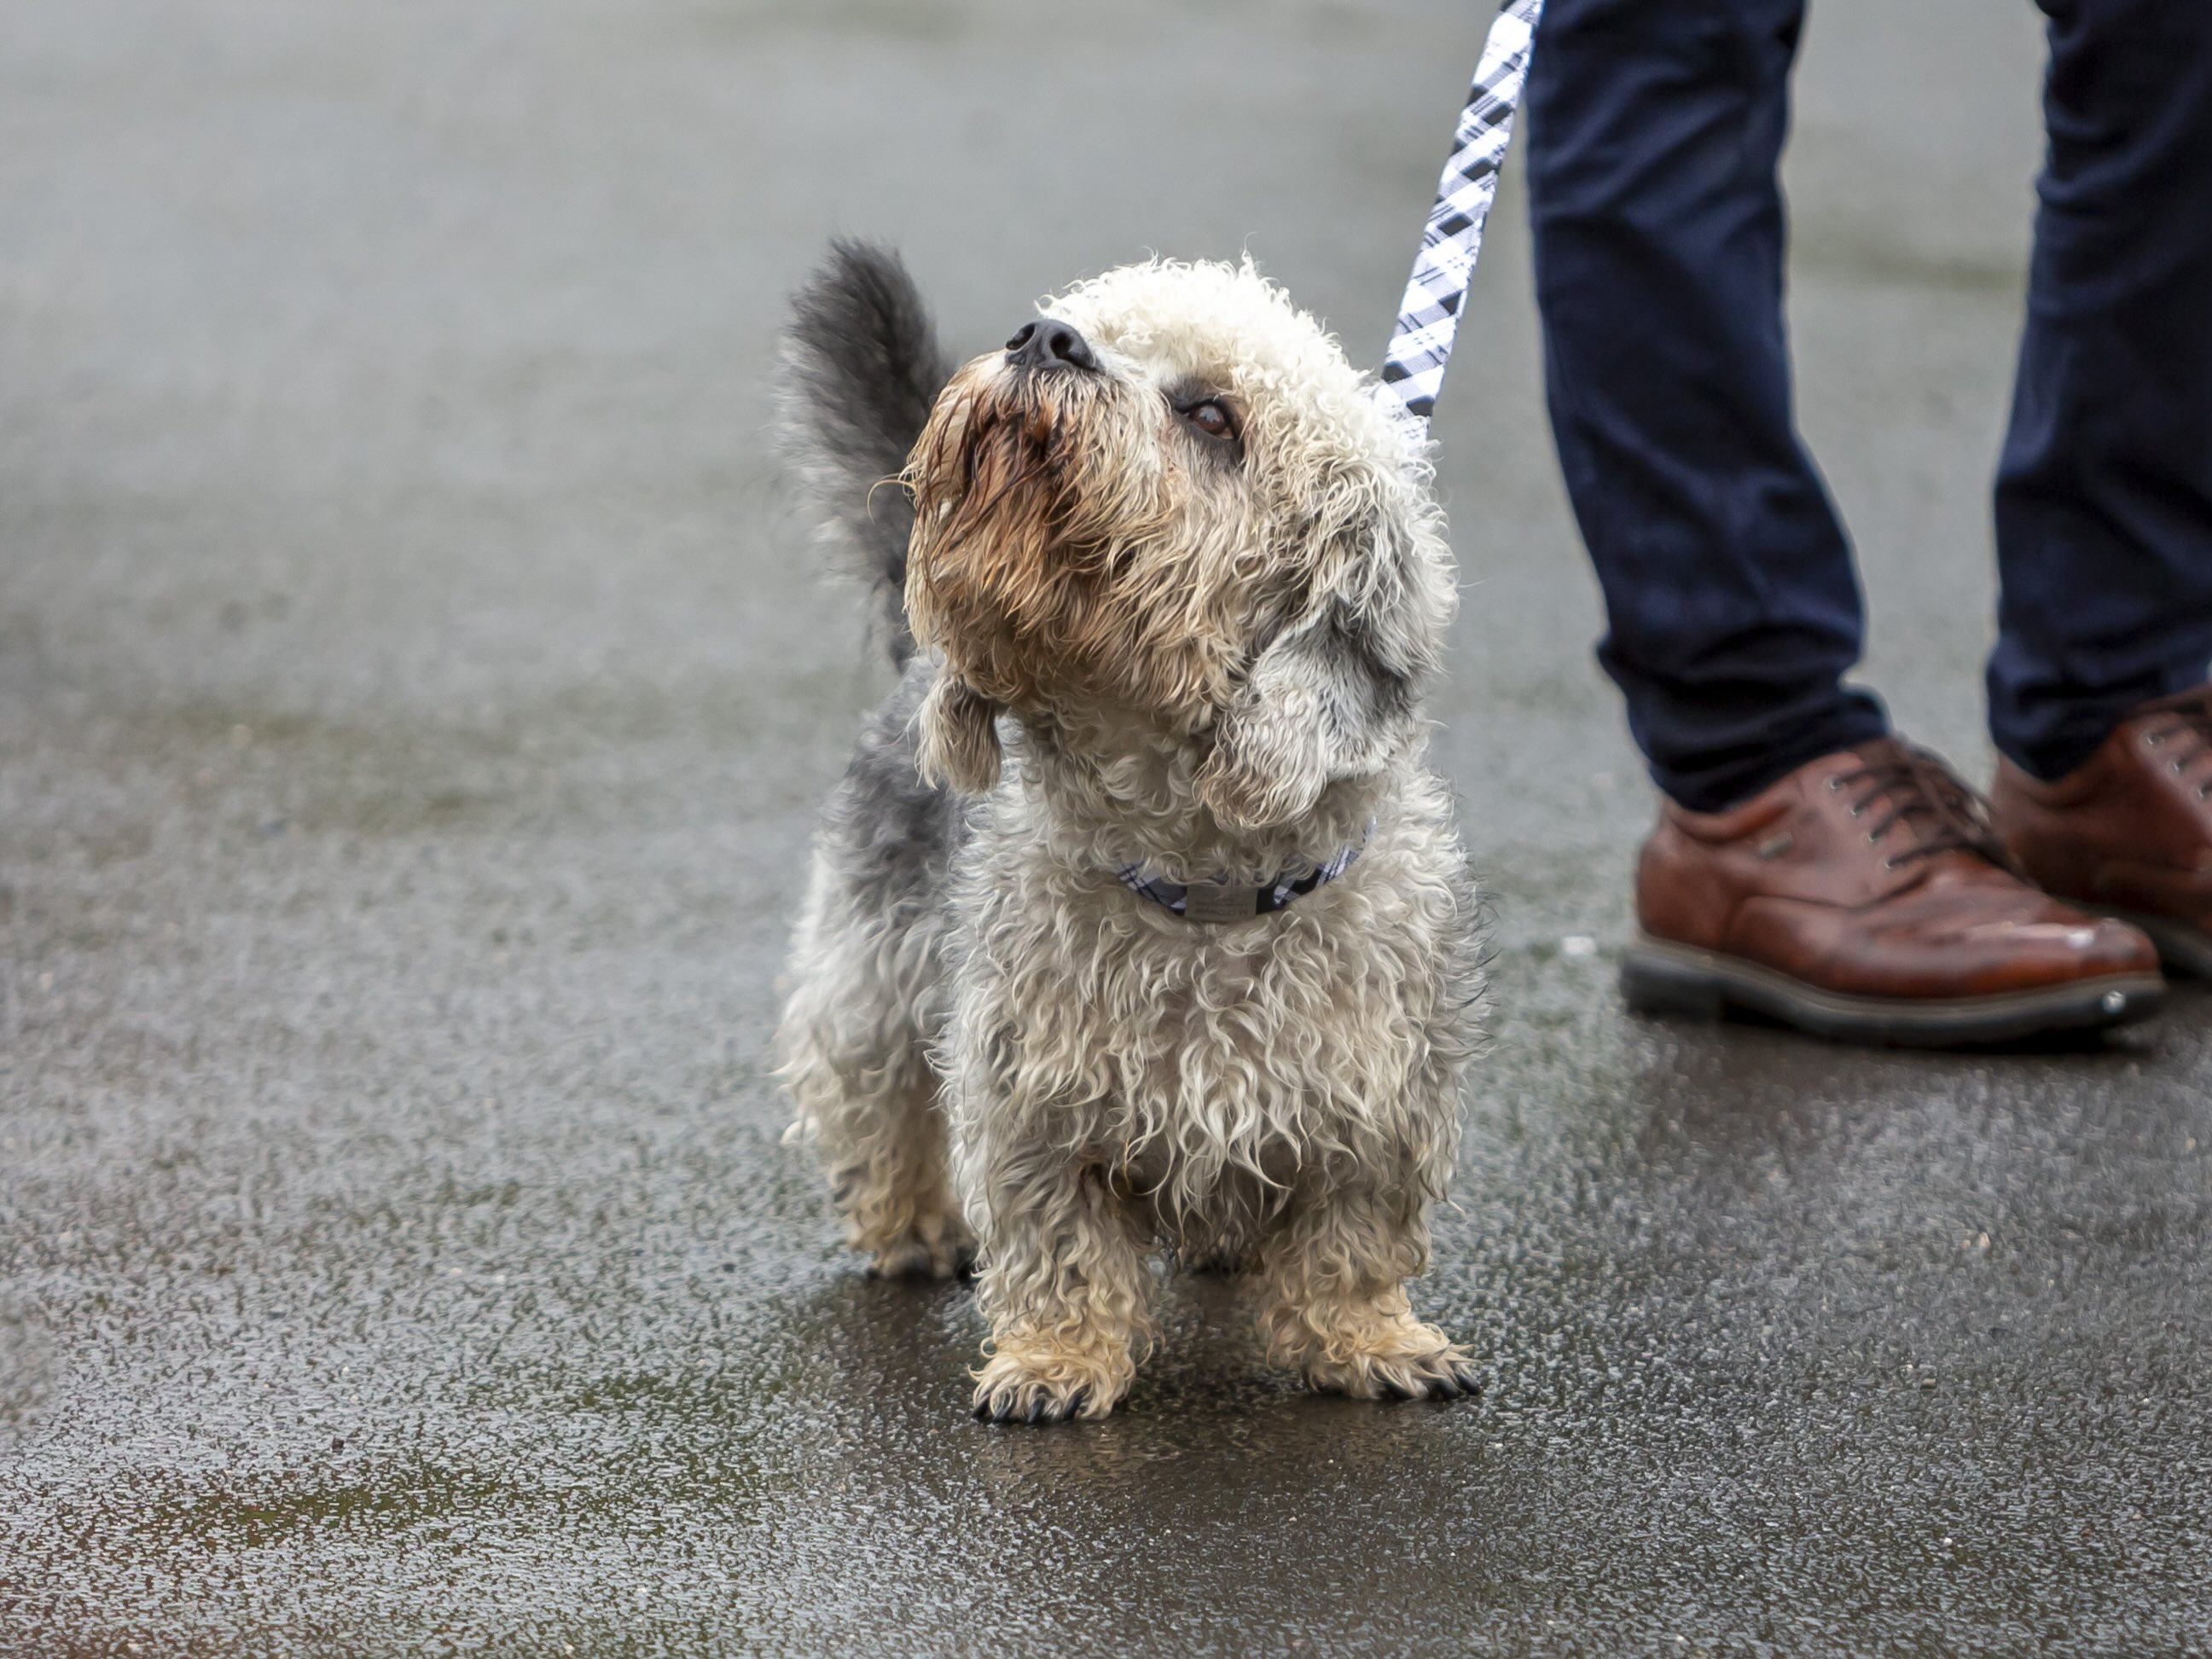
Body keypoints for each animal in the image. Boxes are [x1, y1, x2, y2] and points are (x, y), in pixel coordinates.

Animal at [778, 240, 1486, 1424]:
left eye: (1212, 417)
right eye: (1086, 326)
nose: (1043, 339)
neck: (1204, 893)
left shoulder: (1380, 1108)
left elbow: (1351, 1244)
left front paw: (1368, 1342)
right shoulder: (1029, 1105)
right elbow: (1057, 1247)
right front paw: (1054, 1362)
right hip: (867, 976)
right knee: (872, 1100)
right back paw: (911, 1226)